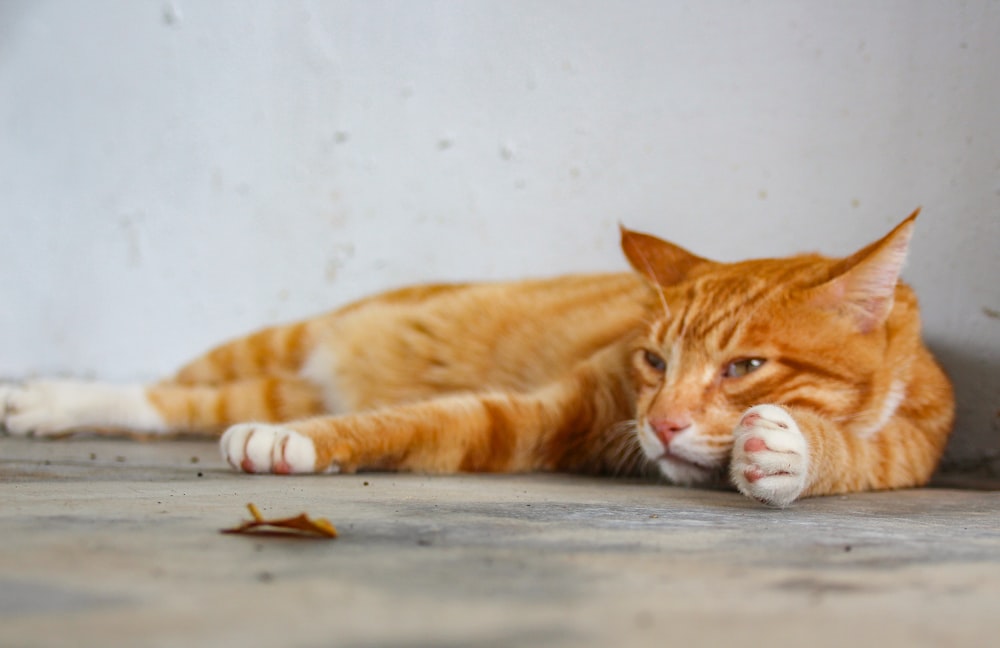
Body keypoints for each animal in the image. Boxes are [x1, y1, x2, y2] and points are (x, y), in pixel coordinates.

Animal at [0, 210, 952, 504]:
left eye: (745, 368)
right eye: (652, 361)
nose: (662, 423)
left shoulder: (908, 447)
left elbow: (849, 456)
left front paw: (788, 450)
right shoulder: (549, 411)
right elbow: (414, 416)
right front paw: (296, 445)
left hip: (275, 375)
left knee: (191, 404)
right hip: (287, 340)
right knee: (162, 393)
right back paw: (47, 399)